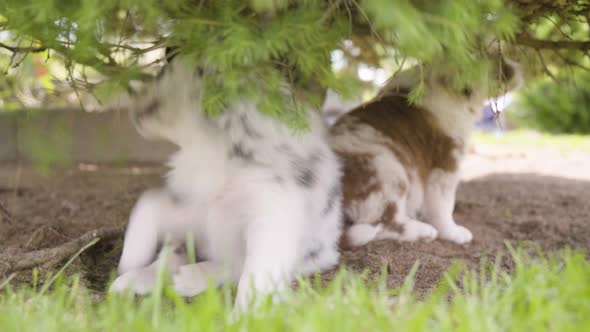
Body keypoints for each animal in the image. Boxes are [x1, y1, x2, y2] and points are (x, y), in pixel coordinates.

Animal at [108, 59, 344, 312]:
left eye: (164, 71)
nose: (132, 98)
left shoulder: (270, 217)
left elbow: (255, 274)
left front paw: (244, 315)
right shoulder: (197, 208)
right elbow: (148, 203)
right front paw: (130, 260)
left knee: (232, 265)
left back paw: (189, 278)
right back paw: (133, 280)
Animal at [332, 57, 524, 246]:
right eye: (500, 65)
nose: (519, 68)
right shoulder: (446, 165)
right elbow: (444, 205)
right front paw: (453, 232)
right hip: (388, 171)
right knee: (384, 224)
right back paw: (424, 231)